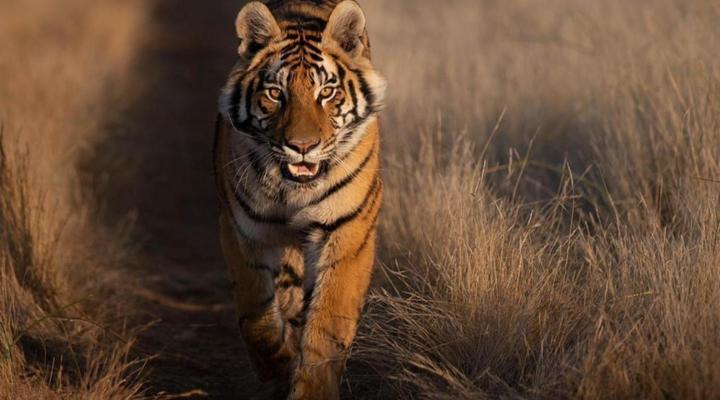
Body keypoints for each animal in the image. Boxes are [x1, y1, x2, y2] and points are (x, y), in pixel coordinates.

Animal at [213, 0, 386, 398]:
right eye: (276, 94)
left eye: (327, 93)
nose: (302, 146)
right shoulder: (241, 229)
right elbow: (255, 312)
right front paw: (276, 364)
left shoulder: (347, 229)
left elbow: (328, 325)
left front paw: (312, 388)